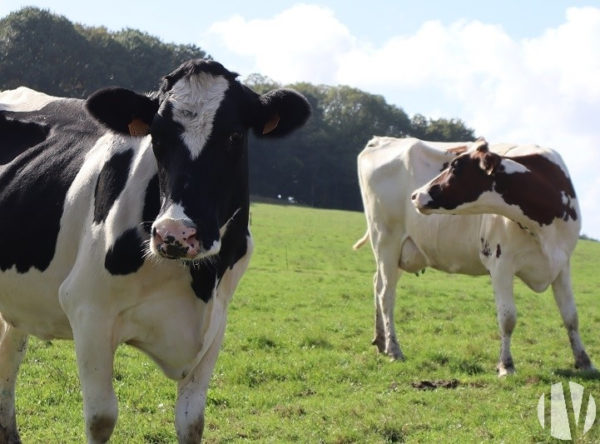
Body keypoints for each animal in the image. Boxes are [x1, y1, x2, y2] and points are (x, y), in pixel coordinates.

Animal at [0, 59, 310, 444]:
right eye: (157, 138)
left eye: (234, 136)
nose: (175, 233)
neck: (199, 280)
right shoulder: (88, 309)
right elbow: (101, 418)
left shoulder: (217, 322)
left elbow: (192, 422)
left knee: (9, 356)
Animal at [354, 135, 592, 374]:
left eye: (456, 167)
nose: (415, 195)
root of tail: (382, 140)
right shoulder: (501, 263)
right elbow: (508, 318)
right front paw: (506, 365)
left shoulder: (562, 264)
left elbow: (571, 316)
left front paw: (584, 362)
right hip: (386, 240)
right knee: (386, 295)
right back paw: (394, 349)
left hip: (401, 252)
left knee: (377, 284)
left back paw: (381, 343)